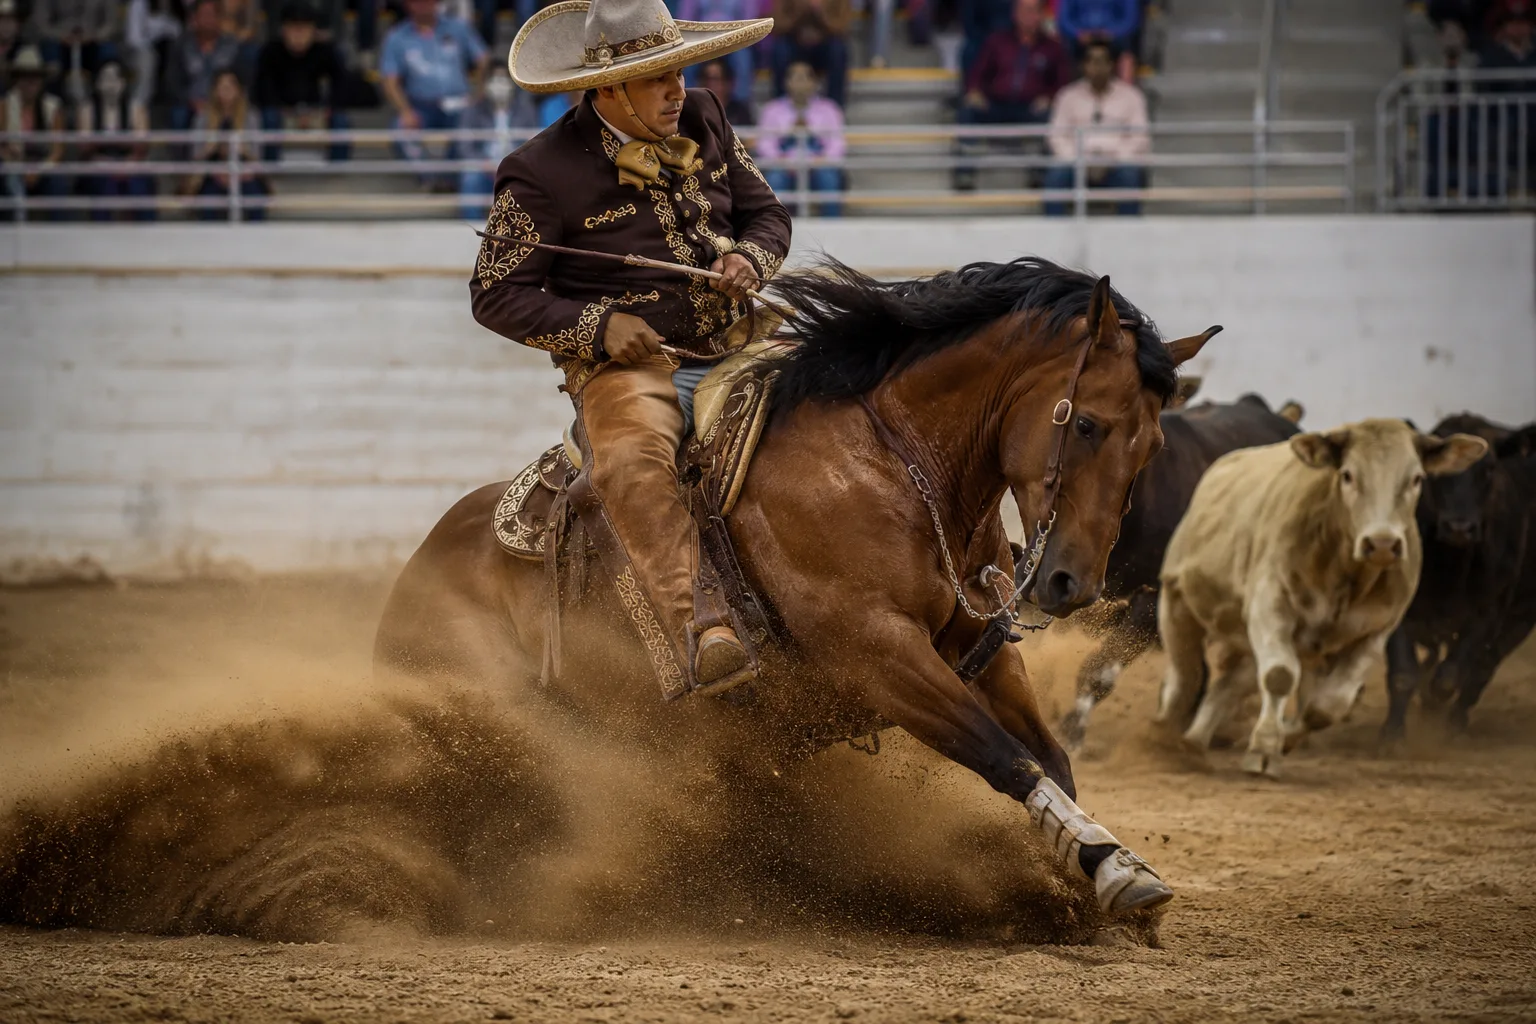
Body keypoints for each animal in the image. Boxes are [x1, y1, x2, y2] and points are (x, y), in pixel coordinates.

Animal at [374, 257, 1216, 923]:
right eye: (1088, 424)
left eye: (1154, 442)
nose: (1074, 582)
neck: (892, 464)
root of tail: (409, 581)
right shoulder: (879, 654)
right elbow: (1004, 757)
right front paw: (1105, 874)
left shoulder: (981, 648)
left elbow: (1053, 759)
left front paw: (1095, 874)